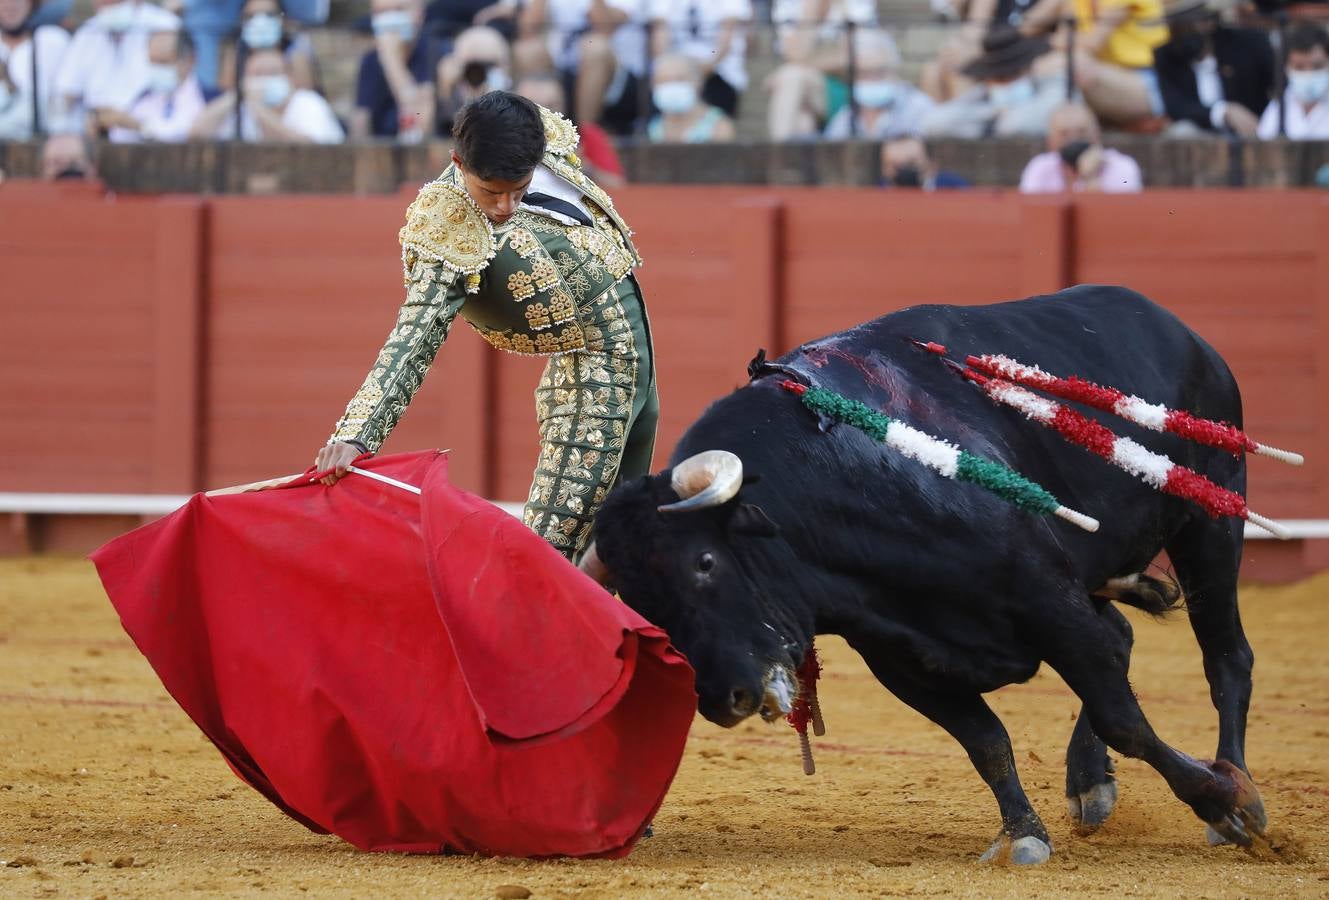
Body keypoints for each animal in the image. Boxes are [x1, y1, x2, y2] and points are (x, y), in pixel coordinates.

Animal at [590, 285, 1265, 861]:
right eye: (644, 604)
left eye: (704, 563)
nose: (722, 698)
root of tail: (1179, 331)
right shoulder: (900, 657)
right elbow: (986, 740)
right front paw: (1022, 834)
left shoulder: (1049, 599)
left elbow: (1123, 719)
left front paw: (1222, 802)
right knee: (1123, 639)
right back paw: (1089, 785)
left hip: (1212, 520)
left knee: (1225, 656)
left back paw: (1235, 785)